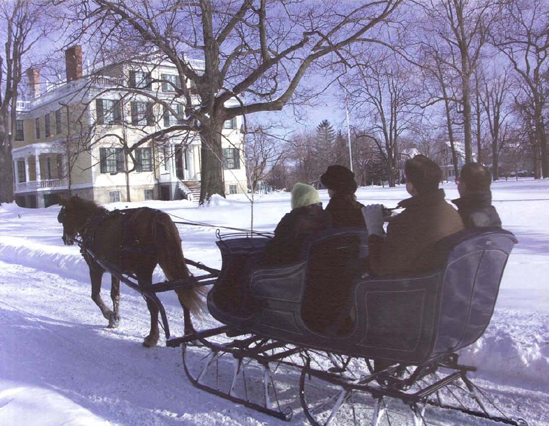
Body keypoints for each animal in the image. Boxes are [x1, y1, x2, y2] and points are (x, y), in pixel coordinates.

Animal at [57, 196, 204, 346]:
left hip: (144, 272)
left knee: (153, 303)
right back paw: (188, 333)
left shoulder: (95, 268)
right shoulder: (115, 270)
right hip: (169, 263)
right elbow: (115, 294)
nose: (65, 239)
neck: (92, 223)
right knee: (183, 294)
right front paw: (115, 317)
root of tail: (156, 217)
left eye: (63, 216)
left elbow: (95, 295)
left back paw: (152, 337)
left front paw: (110, 316)